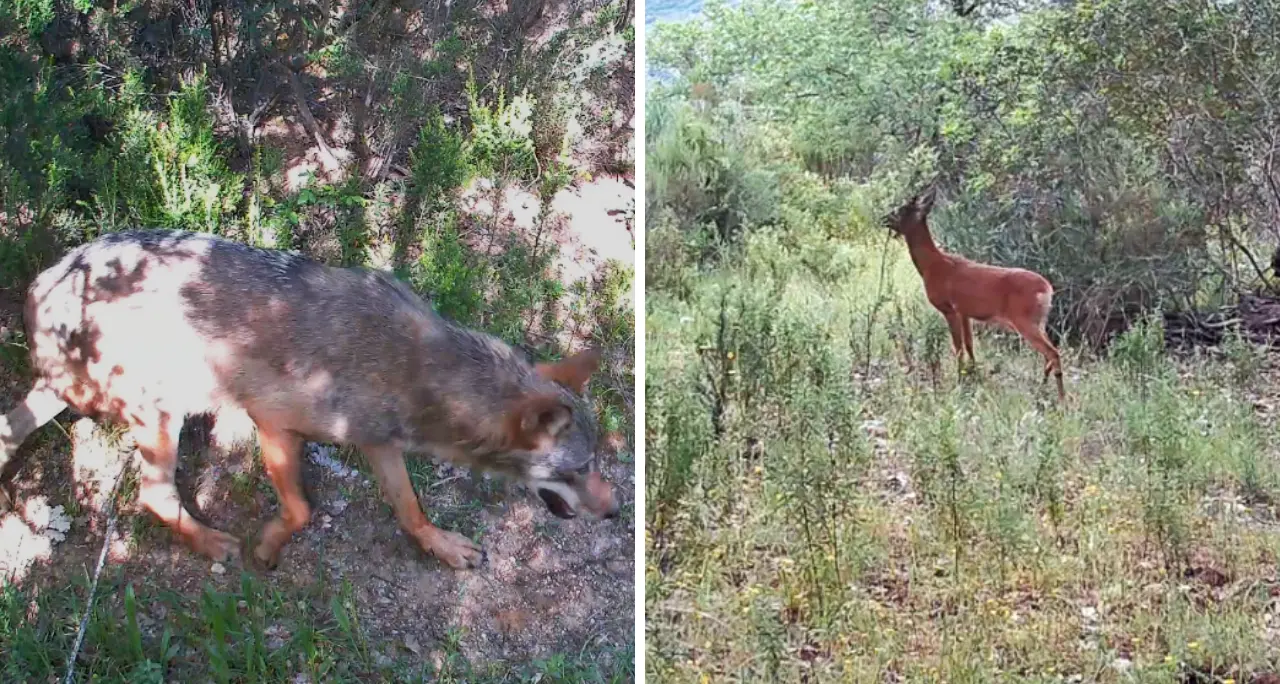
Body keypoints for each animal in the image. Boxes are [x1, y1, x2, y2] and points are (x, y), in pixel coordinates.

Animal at [0, 230, 618, 570]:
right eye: (577, 469)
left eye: (596, 465)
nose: (615, 512)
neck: (416, 371)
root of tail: (40, 286)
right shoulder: (272, 423)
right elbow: (300, 509)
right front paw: (267, 547)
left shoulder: (379, 444)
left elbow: (411, 509)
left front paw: (441, 547)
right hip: (161, 416)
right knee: (152, 496)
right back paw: (213, 544)